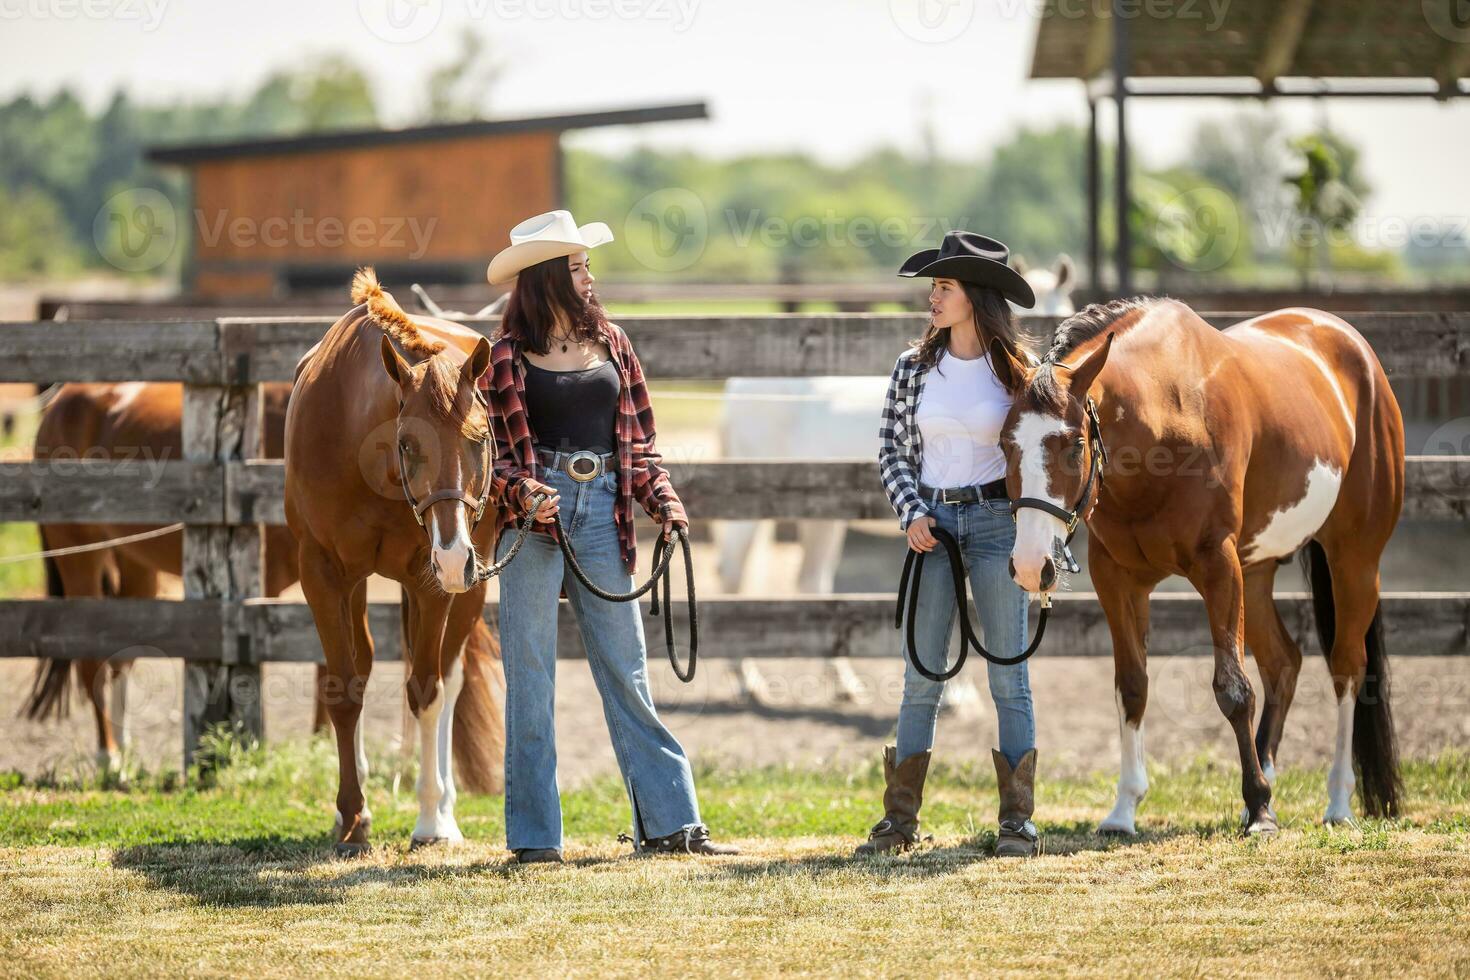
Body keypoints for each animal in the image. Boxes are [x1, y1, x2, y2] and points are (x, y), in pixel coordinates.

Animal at [286, 265, 505, 852]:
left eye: (481, 439)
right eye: (408, 444)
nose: (453, 556)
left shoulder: (431, 584)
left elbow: (427, 691)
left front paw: (429, 821)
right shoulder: (321, 574)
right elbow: (343, 689)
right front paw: (351, 815)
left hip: (470, 587)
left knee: (449, 679)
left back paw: (444, 811)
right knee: (362, 667)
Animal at [717, 257, 1076, 708]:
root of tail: (740, 385)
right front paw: (955, 695)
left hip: (822, 521)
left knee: (811, 581)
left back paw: (843, 683)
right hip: (755, 509)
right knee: (734, 572)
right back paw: (746, 680)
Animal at [993, 299, 1405, 834]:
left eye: (1075, 446)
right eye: (1004, 444)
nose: (1030, 566)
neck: (1166, 421)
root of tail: (1354, 346)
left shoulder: (1218, 565)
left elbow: (1233, 689)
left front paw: (1260, 811)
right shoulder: (1117, 578)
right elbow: (1132, 686)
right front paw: (1124, 810)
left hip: (1354, 559)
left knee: (1347, 668)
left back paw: (1336, 803)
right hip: (1257, 571)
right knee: (1284, 663)